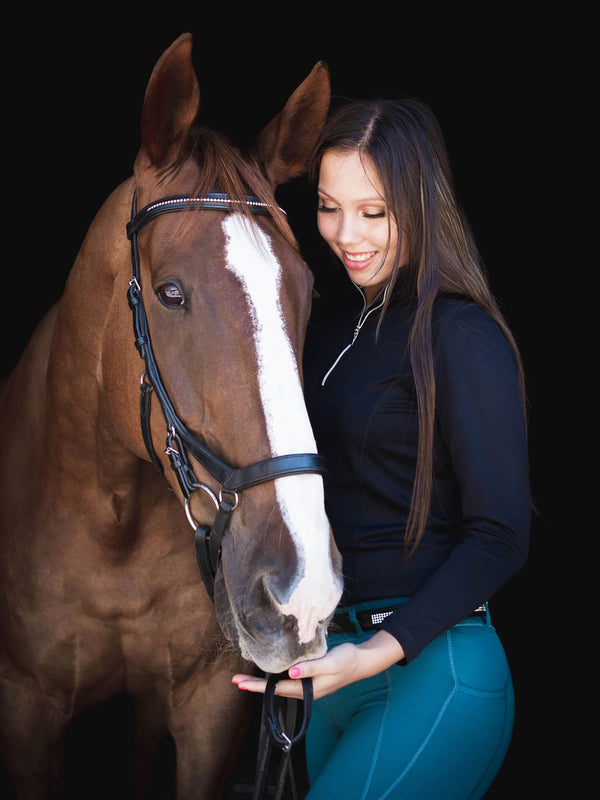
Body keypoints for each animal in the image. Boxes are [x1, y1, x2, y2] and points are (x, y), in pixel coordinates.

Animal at [0, 33, 342, 798]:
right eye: (171, 293)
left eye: (309, 290)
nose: (302, 589)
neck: (113, 528)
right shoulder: (27, 710)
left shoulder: (209, 711)